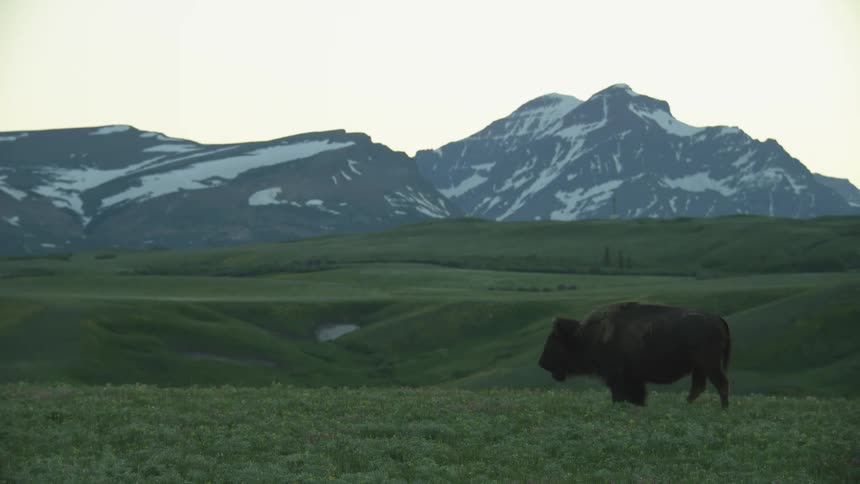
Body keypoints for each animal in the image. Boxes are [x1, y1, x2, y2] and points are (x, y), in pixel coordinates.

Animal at [538, 302, 731, 408]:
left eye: (554, 340)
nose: (542, 363)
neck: (584, 335)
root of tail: (718, 319)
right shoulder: (634, 379)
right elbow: (638, 398)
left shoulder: (617, 378)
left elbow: (619, 397)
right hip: (699, 367)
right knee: (698, 387)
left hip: (710, 365)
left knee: (721, 384)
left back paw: (723, 410)